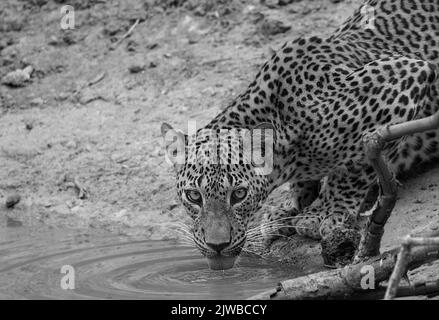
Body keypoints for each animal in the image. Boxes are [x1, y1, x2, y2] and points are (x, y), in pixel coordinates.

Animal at [161, 0, 439, 270]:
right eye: (194, 196)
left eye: (239, 194)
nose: (217, 245)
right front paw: (290, 207)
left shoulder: (404, 78)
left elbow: (356, 167)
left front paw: (324, 212)